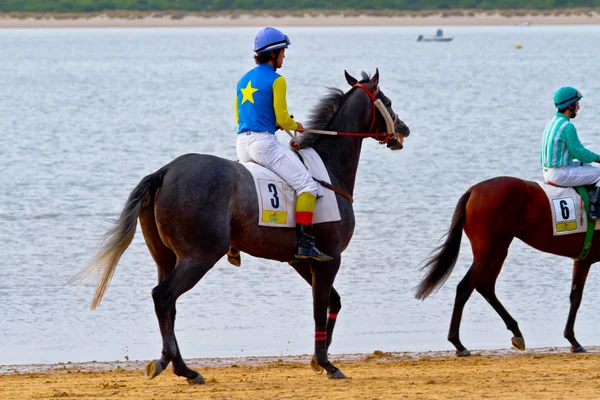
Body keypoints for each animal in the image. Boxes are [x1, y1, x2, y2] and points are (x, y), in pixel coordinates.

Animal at [70, 70, 408, 382]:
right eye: (388, 102)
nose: (403, 128)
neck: (327, 169)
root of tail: (165, 171)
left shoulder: (300, 260)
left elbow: (331, 303)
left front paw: (318, 360)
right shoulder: (329, 258)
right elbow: (319, 310)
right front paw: (326, 363)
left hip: (165, 257)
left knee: (168, 304)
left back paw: (178, 365)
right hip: (199, 256)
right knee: (163, 297)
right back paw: (176, 366)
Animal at [418, 177, 596, 356]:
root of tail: (472, 190)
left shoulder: (582, 260)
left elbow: (575, 297)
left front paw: (572, 340)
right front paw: (573, 340)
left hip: (498, 250)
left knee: (485, 286)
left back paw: (516, 332)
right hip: (490, 250)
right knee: (465, 287)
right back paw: (458, 344)